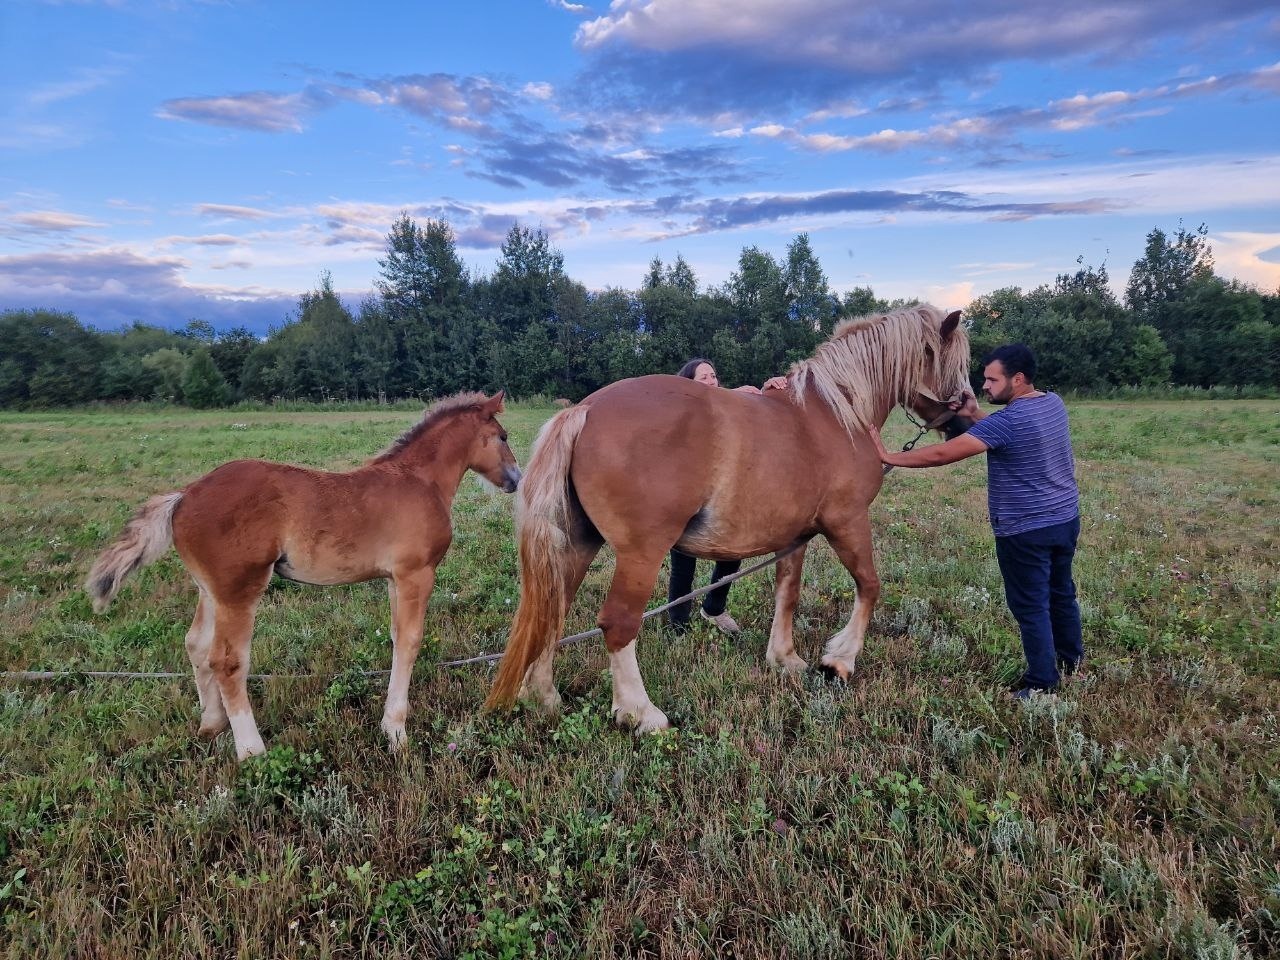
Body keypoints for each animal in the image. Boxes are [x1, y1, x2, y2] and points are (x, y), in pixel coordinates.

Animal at [86, 394, 519, 762]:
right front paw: (396, 733)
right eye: (503, 436)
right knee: (227, 660)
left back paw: (211, 725)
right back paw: (252, 751)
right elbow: (411, 642)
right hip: (239, 591)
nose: (515, 477)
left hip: (209, 590)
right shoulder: (417, 574)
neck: (418, 480)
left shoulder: (395, 578)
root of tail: (184, 495)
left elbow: (398, 639)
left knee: (196, 644)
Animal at [488, 308, 967, 737]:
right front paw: (840, 661)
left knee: (553, 609)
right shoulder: (847, 522)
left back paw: (544, 696)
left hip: (579, 543)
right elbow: (869, 585)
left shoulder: (795, 537)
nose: (966, 419)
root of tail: (585, 408)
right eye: (958, 362)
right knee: (619, 623)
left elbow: (787, 594)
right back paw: (641, 713)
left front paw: (785, 659)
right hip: (640, 553)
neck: (837, 414)